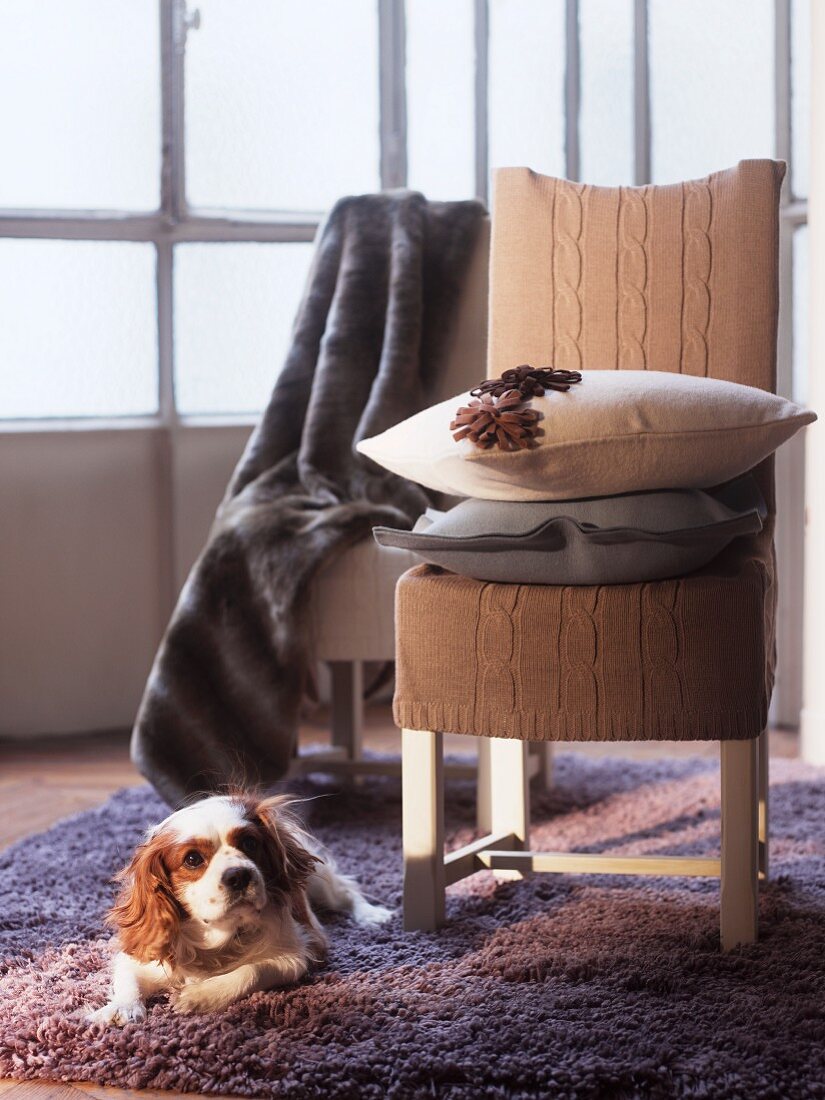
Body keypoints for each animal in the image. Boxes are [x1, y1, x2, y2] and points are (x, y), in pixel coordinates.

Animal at [89, 792, 391, 1020]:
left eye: (249, 842)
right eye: (192, 859)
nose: (239, 875)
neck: (220, 934)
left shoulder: (298, 954)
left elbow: (253, 970)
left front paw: (199, 996)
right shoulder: (143, 957)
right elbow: (127, 978)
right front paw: (122, 1008)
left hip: (320, 882)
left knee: (347, 891)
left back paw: (372, 915)